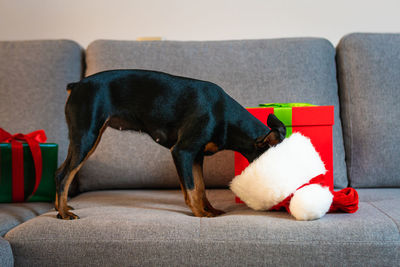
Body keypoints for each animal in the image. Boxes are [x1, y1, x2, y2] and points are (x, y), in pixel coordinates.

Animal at [54, 70, 286, 221]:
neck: (224, 114)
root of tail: (76, 85)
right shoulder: (182, 152)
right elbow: (191, 188)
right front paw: (200, 214)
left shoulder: (196, 156)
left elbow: (200, 187)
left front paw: (209, 209)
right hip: (87, 136)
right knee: (65, 175)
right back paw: (64, 213)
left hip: (86, 139)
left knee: (59, 172)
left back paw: (60, 207)